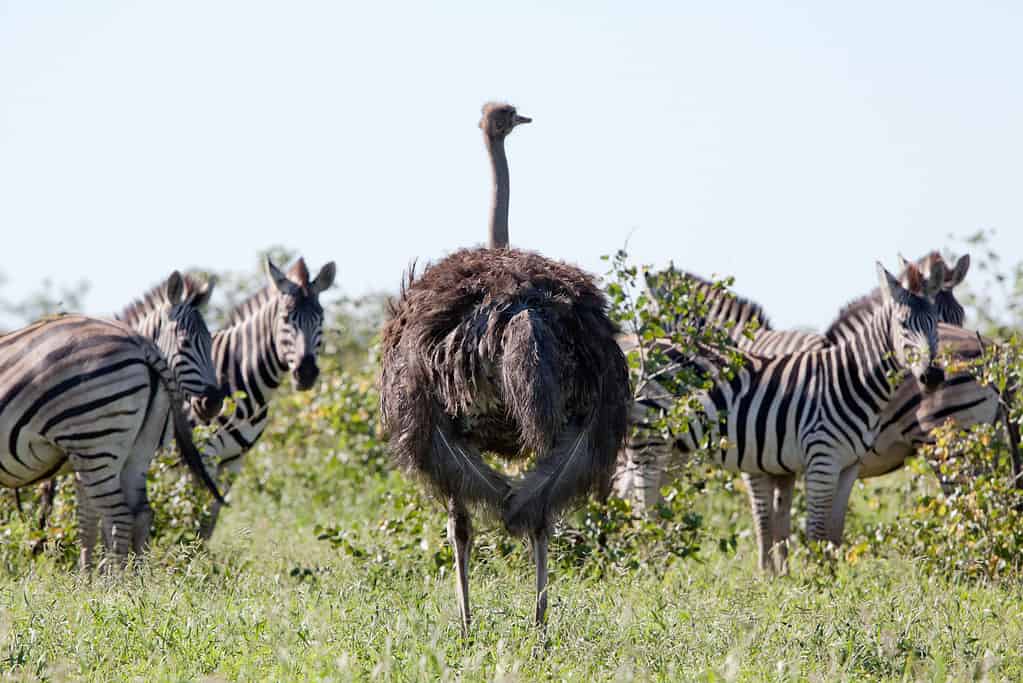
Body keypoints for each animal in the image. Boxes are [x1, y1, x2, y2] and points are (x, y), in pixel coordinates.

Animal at [0, 314, 223, 572]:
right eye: (185, 344)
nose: (214, 402)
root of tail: (139, 343)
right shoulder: (77, 465)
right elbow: (86, 521)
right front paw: (86, 576)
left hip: (94, 441)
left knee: (119, 516)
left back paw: (116, 582)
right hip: (134, 452)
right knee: (140, 513)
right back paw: (139, 577)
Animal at [193, 255, 333, 539]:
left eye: (321, 317)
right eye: (286, 318)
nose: (306, 372)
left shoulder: (233, 460)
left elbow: (210, 518)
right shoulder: (205, 454)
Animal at [621, 261, 941, 572]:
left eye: (937, 324)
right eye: (903, 324)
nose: (934, 375)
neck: (853, 380)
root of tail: (643, 350)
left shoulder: (847, 466)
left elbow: (833, 534)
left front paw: (830, 579)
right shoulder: (819, 460)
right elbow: (811, 530)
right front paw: (811, 581)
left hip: (673, 450)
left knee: (653, 509)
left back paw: (660, 566)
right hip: (650, 442)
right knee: (642, 509)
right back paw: (648, 569)